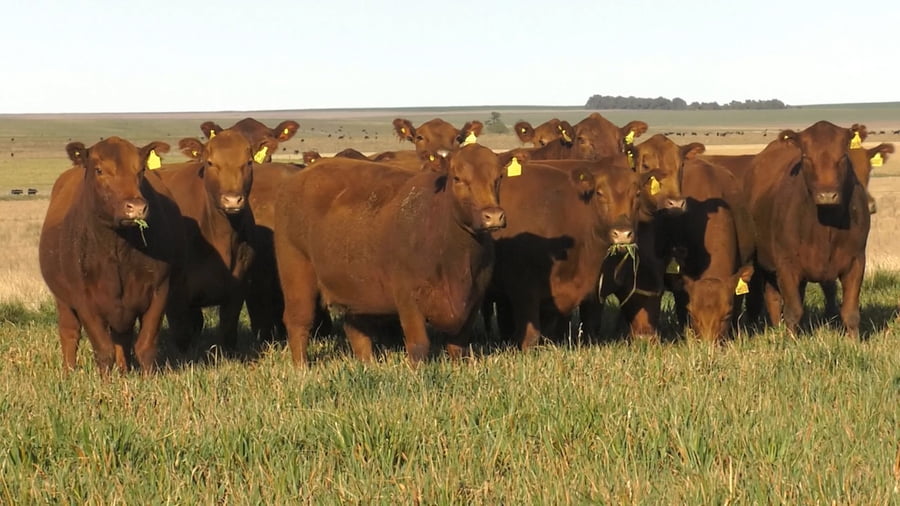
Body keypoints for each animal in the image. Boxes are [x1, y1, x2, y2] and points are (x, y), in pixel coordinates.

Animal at [39, 137, 183, 374]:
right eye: (99, 170)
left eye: (141, 170)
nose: (136, 207)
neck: (118, 251)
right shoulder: (84, 299)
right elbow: (103, 350)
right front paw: (105, 381)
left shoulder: (159, 291)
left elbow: (145, 346)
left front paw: (149, 379)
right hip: (63, 300)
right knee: (70, 333)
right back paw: (68, 373)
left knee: (121, 338)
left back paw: (123, 372)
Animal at [157, 130, 278, 352]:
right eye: (210, 162)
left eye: (248, 162)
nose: (232, 200)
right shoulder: (174, 293)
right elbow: (182, 334)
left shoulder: (239, 283)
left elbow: (228, 330)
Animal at [274, 144, 508, 366]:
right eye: (458, 178)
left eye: (498, 178)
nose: (493, 216)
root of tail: (303, 175)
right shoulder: (408, 298)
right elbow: (418, 345)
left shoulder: (474, 300)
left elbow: (458, 347)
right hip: (296, 273)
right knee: (299, 321)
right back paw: (302, 368)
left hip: (353, 288)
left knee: (356, 331)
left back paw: (368, 365)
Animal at [749, 121, 871, 338]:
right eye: (806, 157)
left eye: (843, 156)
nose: (827, 195)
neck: (826, 228)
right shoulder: (786, 263)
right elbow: (793, 311)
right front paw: (791, 341)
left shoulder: (856, 260)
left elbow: (850, 312)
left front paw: (854, 342)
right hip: (764, 261)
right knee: (773, 298)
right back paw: (777, 328)